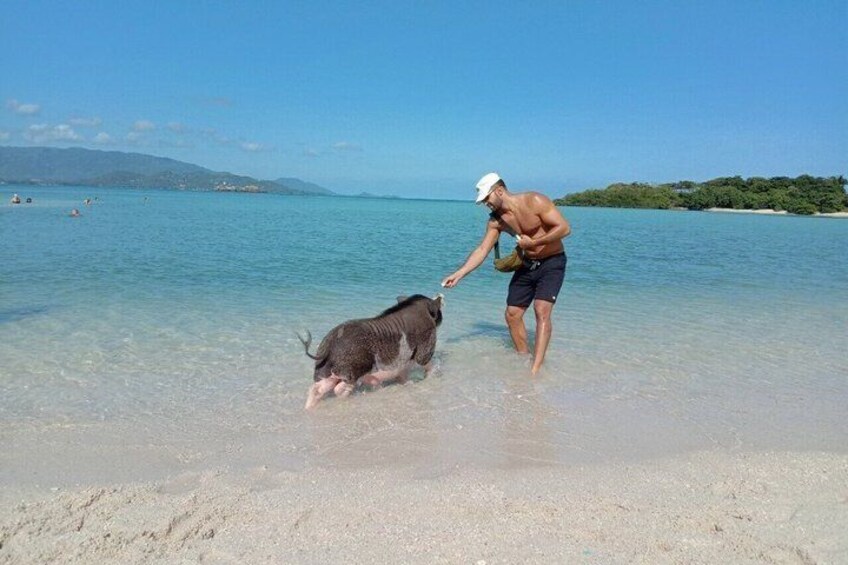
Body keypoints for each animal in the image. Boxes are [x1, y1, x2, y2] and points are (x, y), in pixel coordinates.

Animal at [298, 294, 444, 409]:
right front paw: (432, 376)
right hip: (355, 368)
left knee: (317, 388)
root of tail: (331, 342)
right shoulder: (426, 346)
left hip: (326, 371)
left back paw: (308, 408)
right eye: (439, 311)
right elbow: (425, 363)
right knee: (339, 388)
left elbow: (403, 375)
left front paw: (408, 383)